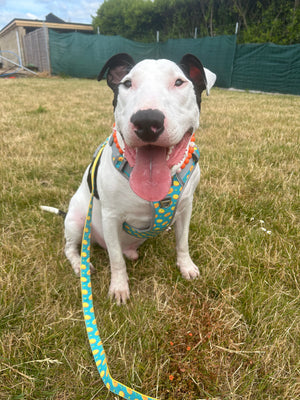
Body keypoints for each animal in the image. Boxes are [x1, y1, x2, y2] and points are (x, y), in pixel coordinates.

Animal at [62, 53, 216, 304]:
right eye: (127, 83)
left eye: (179, 82)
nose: (146, 121)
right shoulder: (110, 217)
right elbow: (116, 259)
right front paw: (119, 288)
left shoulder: (186, 209)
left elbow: (182, 242)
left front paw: (186, 266)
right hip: (76, 221)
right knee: (71, 248)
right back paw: (79, 265)